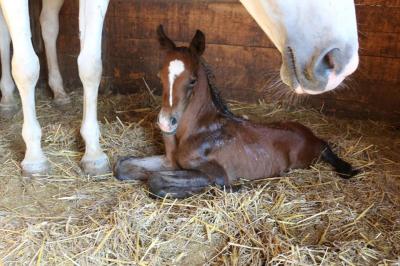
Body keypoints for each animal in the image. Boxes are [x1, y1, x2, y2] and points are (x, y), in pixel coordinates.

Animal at [113, 26, 360, 198]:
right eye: (160, 75)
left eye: (192, 80)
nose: (166, 122)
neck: (197, 130)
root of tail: (308, 134)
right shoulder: (170, 161)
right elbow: (123, 166)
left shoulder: (216, 172)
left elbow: (156, 181)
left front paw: (231, 189)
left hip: (309, 156)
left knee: (325, 146)